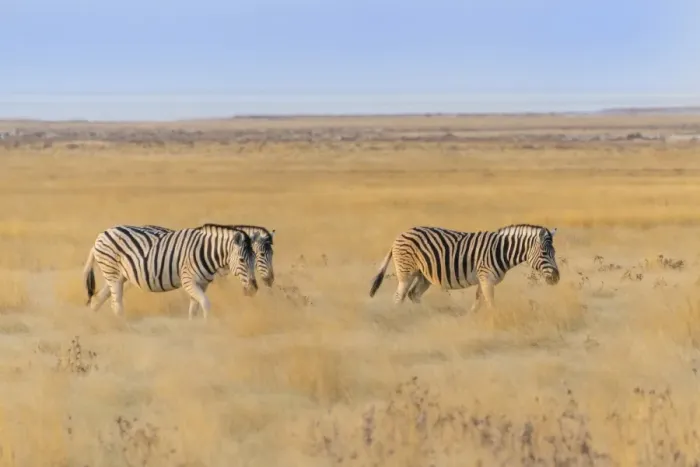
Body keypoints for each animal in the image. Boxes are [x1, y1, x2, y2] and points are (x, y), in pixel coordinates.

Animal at [82, 223, 258, 319]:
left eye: (255, 260)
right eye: (242, 260)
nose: (253, 289)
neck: (206, 252)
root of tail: (100, 236)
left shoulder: (202, 284)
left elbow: (194, 309)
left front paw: (195, 328)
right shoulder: (188, 281)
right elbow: (206, 304)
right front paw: (207, 325)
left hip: (117, 276)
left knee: (97, 300)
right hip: (112, 273)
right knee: (116, 305)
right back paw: (122, 326)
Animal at [368, 224, 560, 311]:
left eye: (554, 252)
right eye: (544, 253)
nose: (557, 278)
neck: (501, 250)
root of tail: (398, 236)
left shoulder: (483, 279)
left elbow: (478, 301)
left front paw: (470, 318)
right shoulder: (486, 278)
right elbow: (490, 303)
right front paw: (495, 318)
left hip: (424, 276)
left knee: (412, 294)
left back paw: (423, 313)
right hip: (406, 273)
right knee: (398, 296)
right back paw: (399, 315)